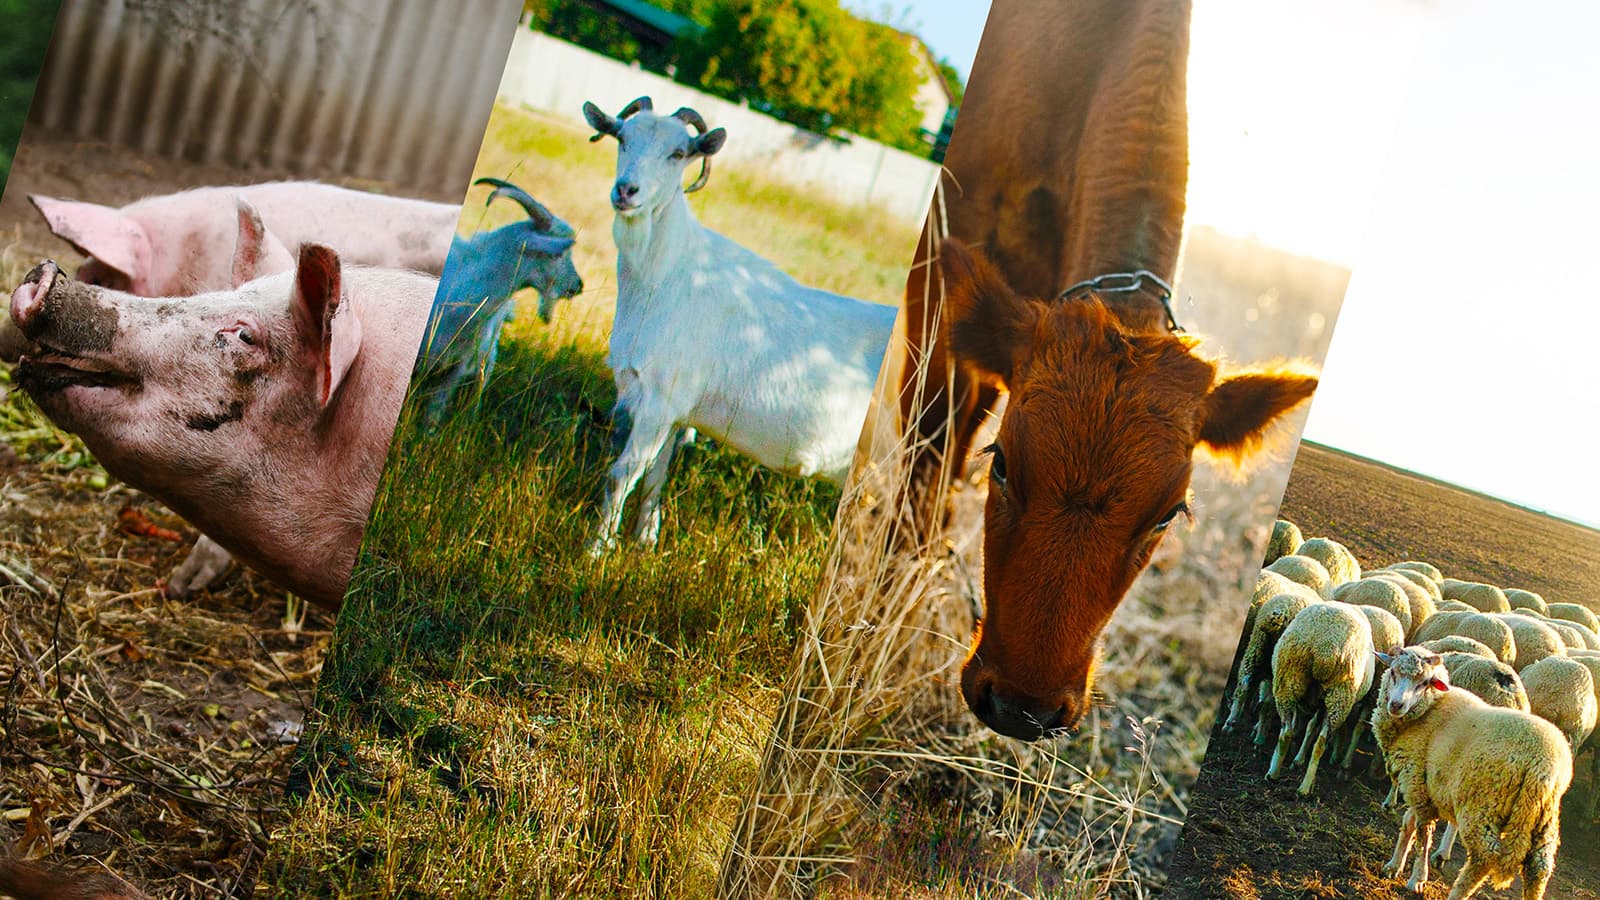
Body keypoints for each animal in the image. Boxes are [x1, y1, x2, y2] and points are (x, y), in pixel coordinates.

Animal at [579, 96, 902, 547]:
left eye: (678, 153)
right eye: (622, 137)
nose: (627, 190)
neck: (667, 272)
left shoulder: (659, 397)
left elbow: (621, 475)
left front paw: (596, 550)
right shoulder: (675, 410)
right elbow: (654, 477)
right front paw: (644, 542)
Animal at [1267, 598, 1369, 794]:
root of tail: (1326, 647)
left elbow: (1310, 726)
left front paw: (1297, 760)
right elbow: (1312, 727)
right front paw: (1298, 760)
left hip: (1291, 679)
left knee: (1290, 732)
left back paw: (1278, 775)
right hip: (1334, 694)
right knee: (1314, 740)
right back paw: (1301, 786)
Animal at [1369, 640, 1568, 890]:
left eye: (1424, 683)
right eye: (1393, 672)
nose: (1397, 705)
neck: (1428, 711)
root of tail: (1543, 764)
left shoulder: (1417, 782)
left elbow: (1424, 834)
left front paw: (1417, 879)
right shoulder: (1421, 782)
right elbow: (1409, 824)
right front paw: (1394, 866)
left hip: (1484, 804)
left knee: (1486, 856)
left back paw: (1456, 888)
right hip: (1545, 816)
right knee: (1539, 868)